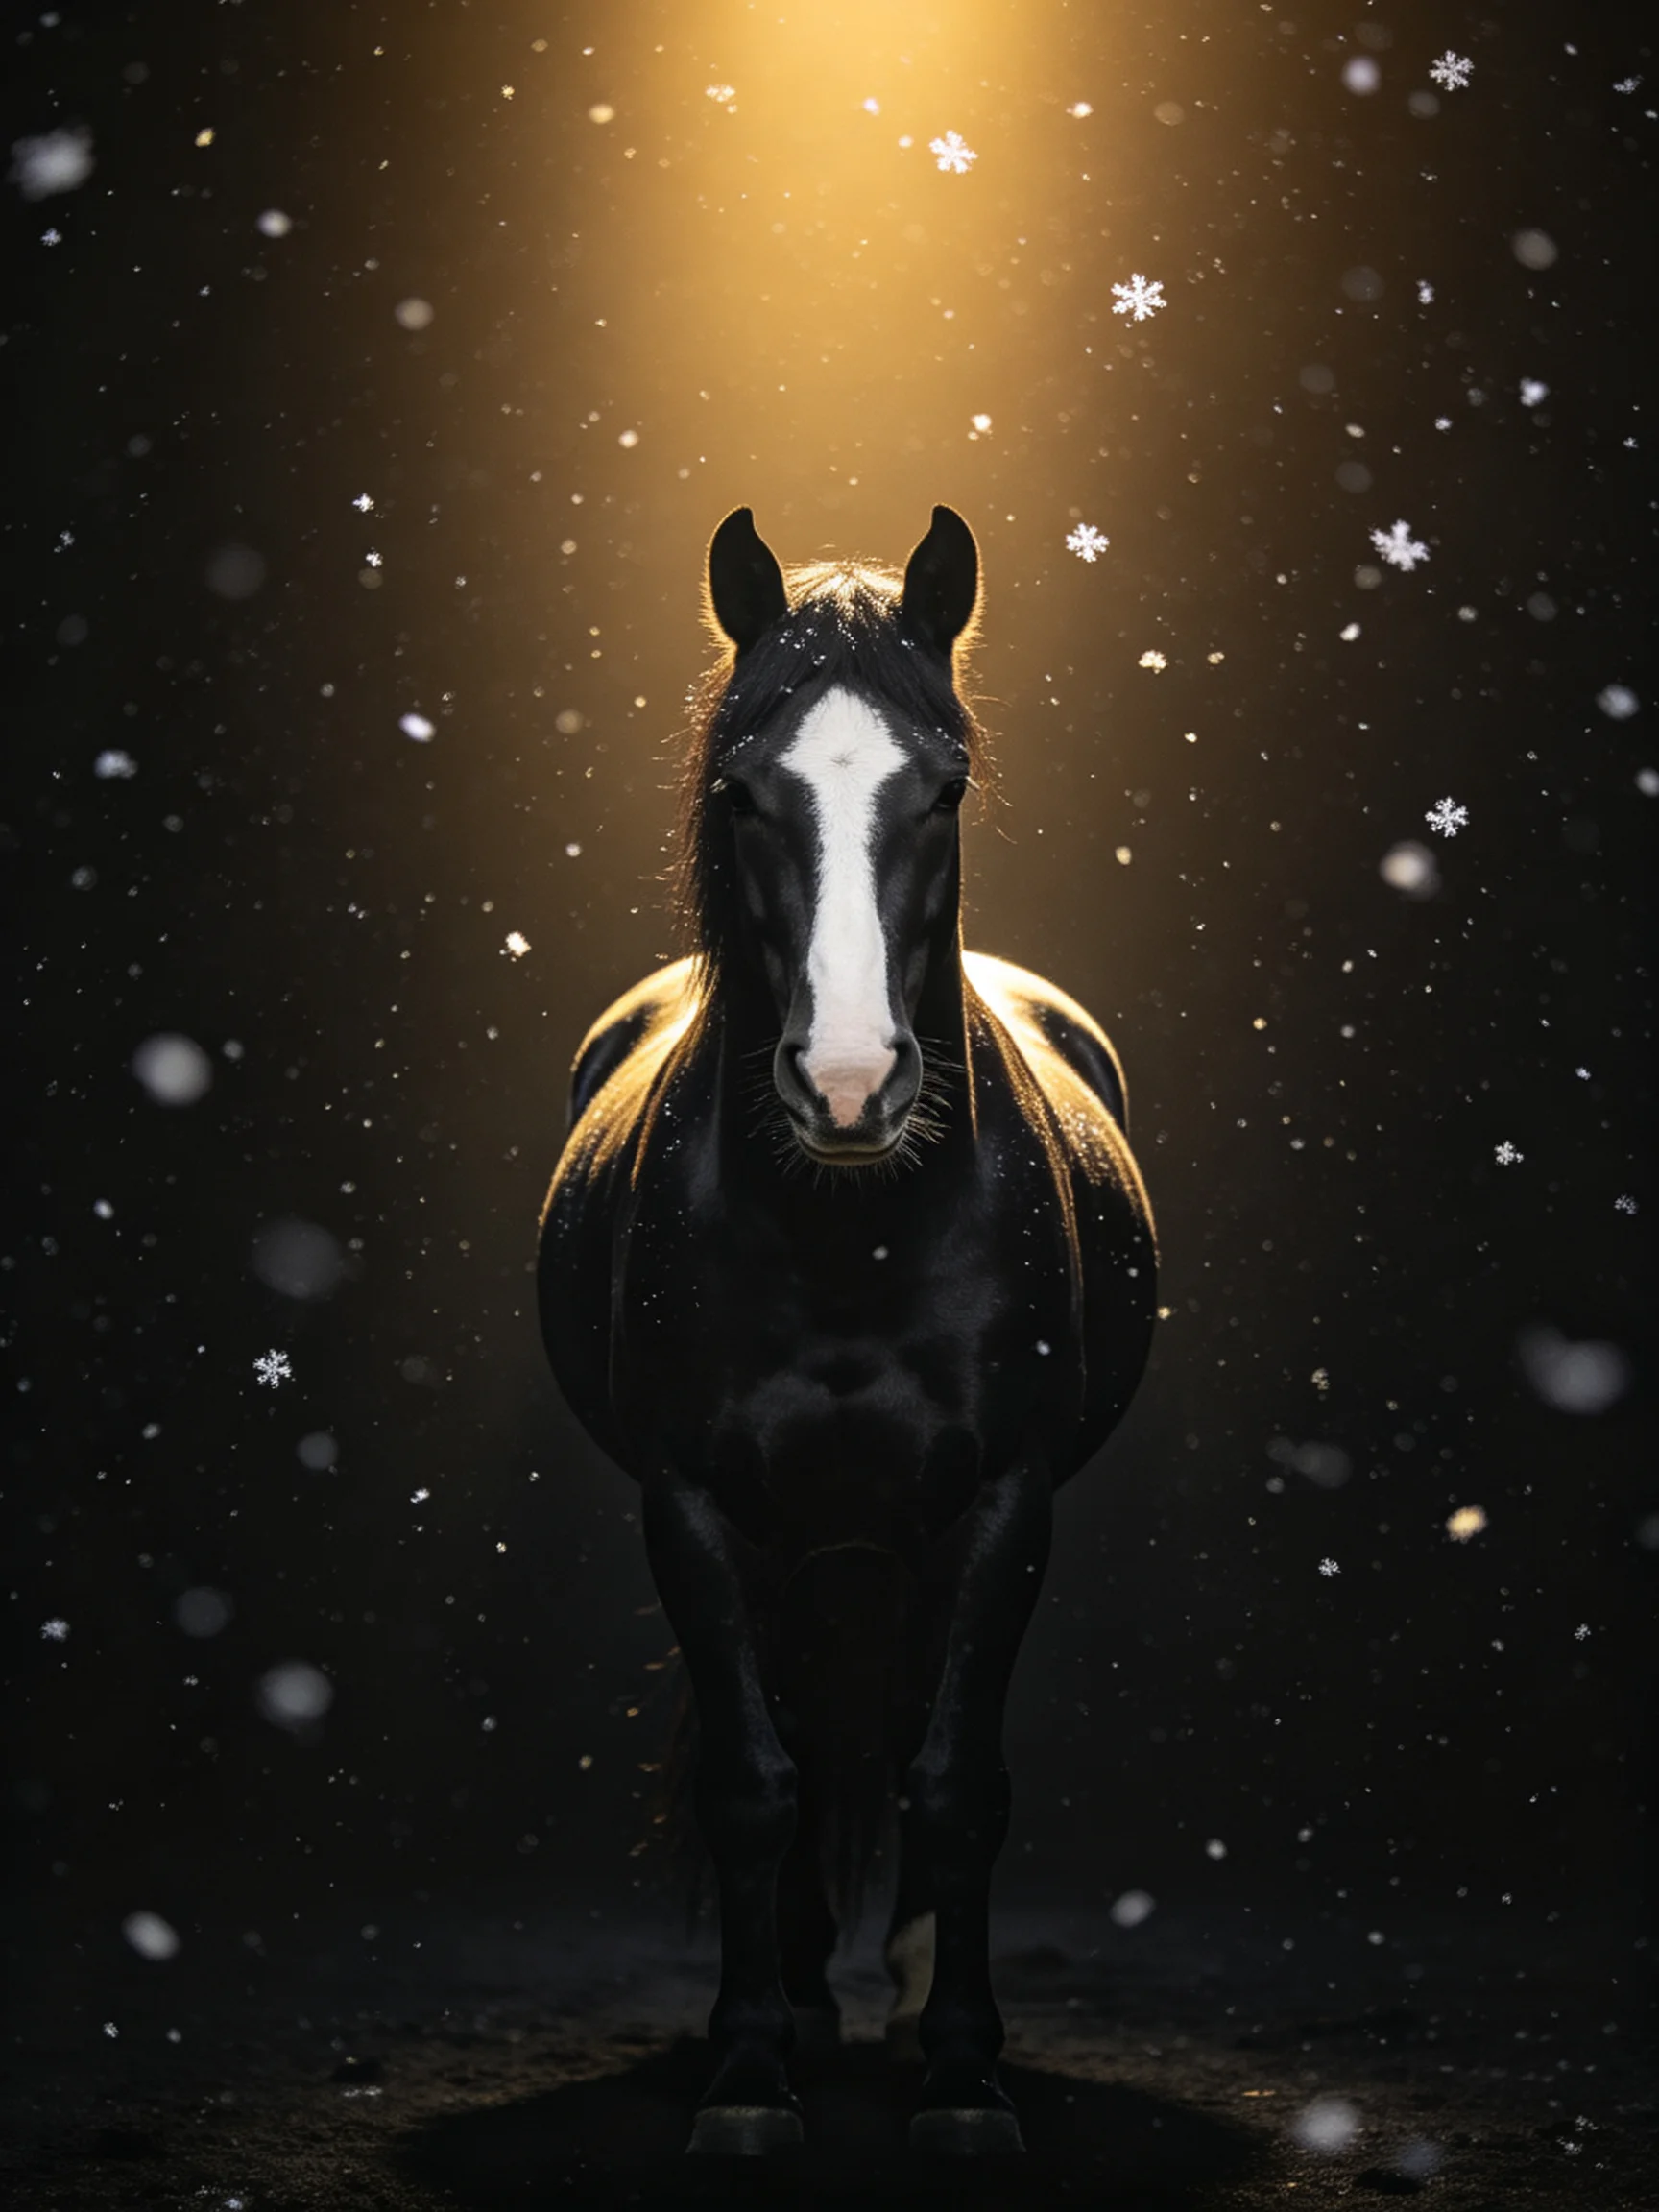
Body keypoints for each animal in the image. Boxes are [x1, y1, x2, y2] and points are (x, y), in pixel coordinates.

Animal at [538, 505, 1157, 2156]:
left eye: (942, 784)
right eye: (744, 790)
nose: (849, 1086)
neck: (848, 1238)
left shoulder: (1005, 1504)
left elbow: (956, 1785)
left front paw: (962, 2076)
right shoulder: (690, 1506)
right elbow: (755, 1784)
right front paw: (753, 2071)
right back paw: (809, 2003)